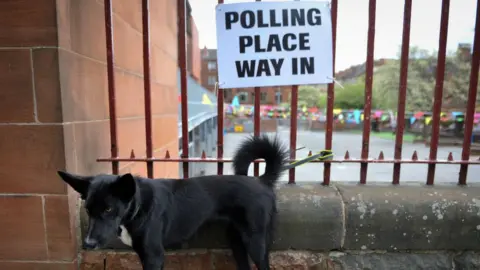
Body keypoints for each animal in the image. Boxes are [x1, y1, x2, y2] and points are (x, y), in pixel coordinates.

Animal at [56, 135, 288, 270]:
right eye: (87, 210)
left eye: (108, 208)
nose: (88, 244)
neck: (139, 205)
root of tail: (262, 180)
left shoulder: (154, 256)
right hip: (237, 241)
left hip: (255, 241)